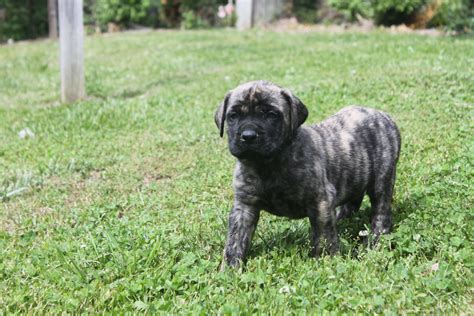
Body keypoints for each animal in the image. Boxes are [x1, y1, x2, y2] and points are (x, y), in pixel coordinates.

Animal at [215, 79, 400, 266]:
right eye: (233, 116)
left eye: (271, 115)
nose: (248, 136)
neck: (267, 164)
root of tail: (383, 115)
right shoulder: (244, 207)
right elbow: (235, 240)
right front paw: (229, 267)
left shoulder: (320, 201)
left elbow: (323, 235)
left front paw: (325, 261)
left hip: (382, 180)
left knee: (381, 212)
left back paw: (375, 240)